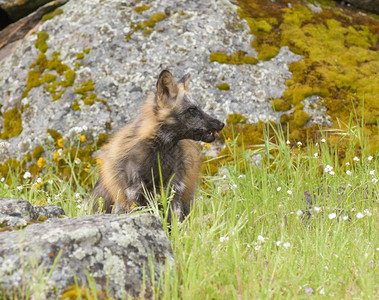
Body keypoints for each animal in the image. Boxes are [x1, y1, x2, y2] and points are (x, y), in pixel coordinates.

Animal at [90, 70, 224, 220]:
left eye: (198, 108)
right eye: (192, 110)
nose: (222, 124)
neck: (158, 162)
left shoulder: (174, 191)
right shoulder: (135, 195)